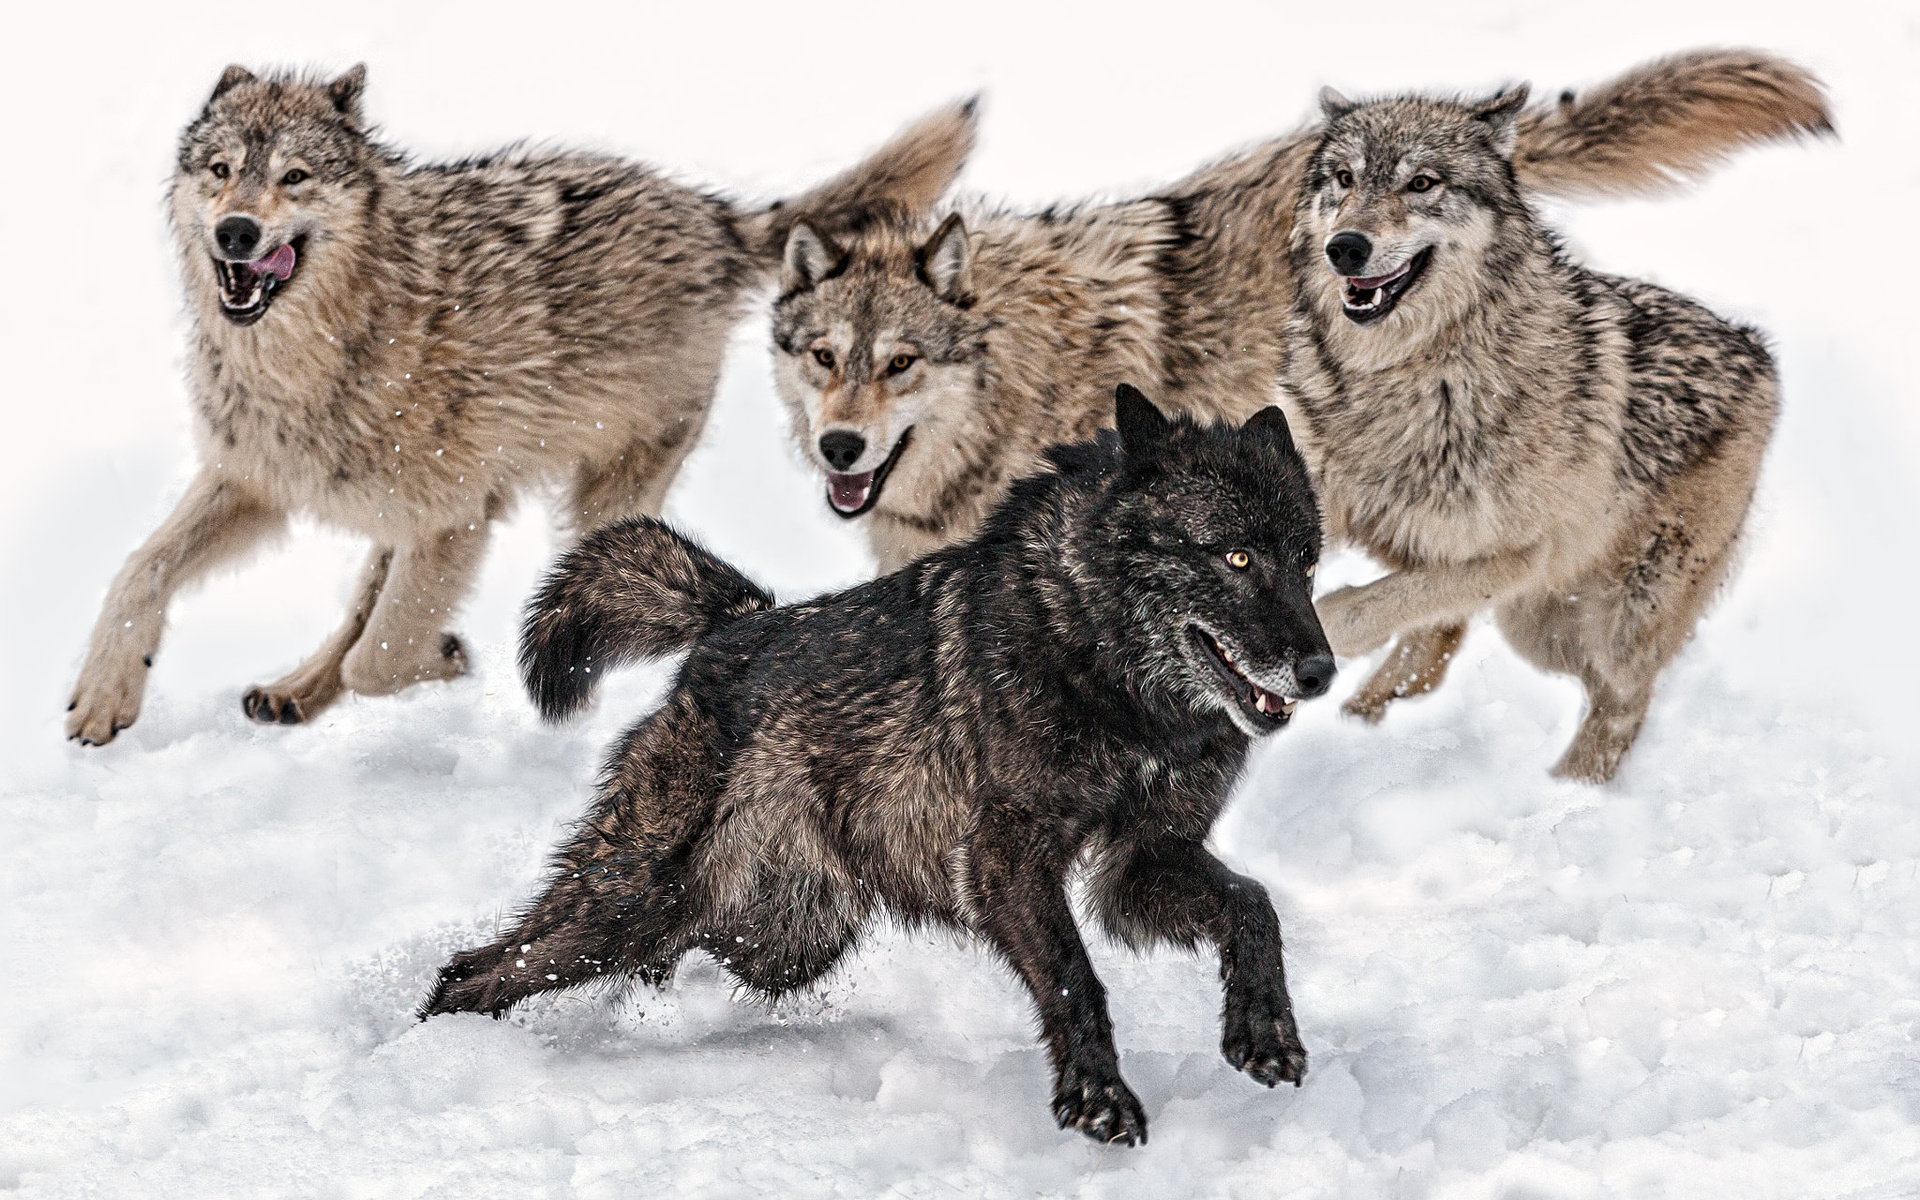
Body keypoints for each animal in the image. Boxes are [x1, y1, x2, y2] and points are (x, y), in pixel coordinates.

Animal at [61, 65, 975, 744]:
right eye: (221, 172)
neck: (315, 355)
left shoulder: (453, 521)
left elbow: (380, 661)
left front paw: (447, 659)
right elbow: (139, 571)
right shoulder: (257, 478)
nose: (238, 233)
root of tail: (711, 217)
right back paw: (295, 689)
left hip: (594, 502)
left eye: (294, 177)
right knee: (357, 601)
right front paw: (103, 694)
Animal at [422, 387, 1336, 1144]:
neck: (1105, 662)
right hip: (632, 902)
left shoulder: (1142, 865)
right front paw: (1098, 1098)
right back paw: (443, 1053)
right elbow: (1077, 980)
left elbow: (1253, 906)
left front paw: (1262, 1030)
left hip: (778, 939)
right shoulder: (1007, 860)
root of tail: (736, 625)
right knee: (479, 970)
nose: (1321, 672)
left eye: (1306, 560)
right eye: (1235, 558)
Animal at [1290, 77, 1797, 787]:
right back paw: (1363, 724)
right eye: (1345, 178)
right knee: (1440, 644)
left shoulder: (1512, 555)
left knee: (1621, 702)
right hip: (1536, 621)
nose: (1346, 247)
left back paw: (1567, 795)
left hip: (1588, 622)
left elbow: (1354, 608)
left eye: (1422, 183)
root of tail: (1757, 350)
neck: (1404, 373)